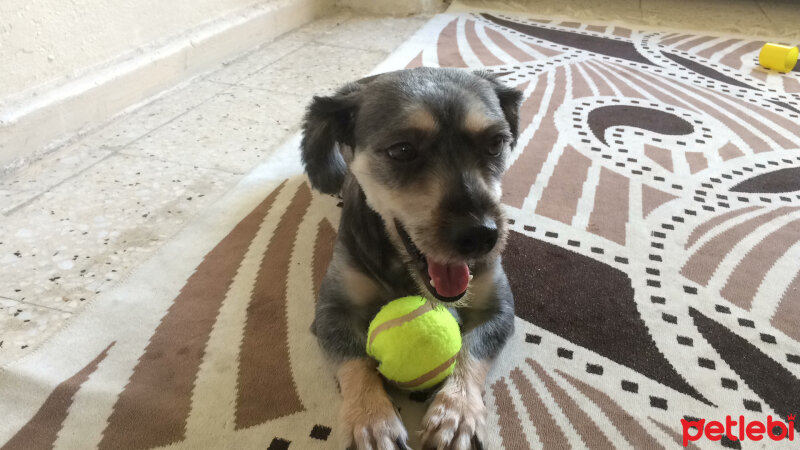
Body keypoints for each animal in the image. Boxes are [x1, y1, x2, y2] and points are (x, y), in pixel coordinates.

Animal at [300, 67, 520, 450]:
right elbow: (355, 359)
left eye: (495, 143)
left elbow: (473, 350)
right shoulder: (331, 311)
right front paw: (371, 419)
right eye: (402, 150)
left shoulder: (498, 308)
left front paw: (457, 410)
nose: (481, 235)